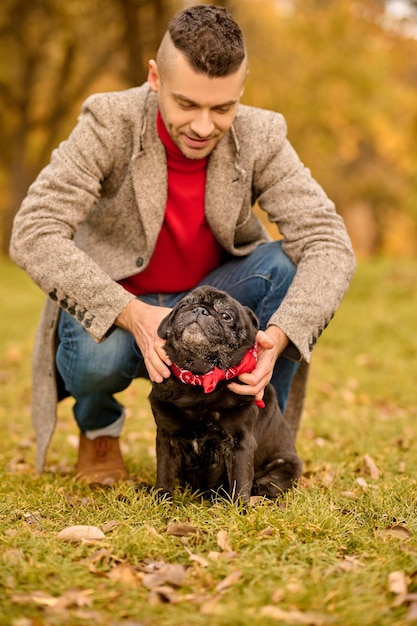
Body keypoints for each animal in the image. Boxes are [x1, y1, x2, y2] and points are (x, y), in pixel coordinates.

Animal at [150, 286, 302, 500]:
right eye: (184, 304)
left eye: (226, 316)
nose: (199, 310)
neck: (200, 377)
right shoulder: (166, 438)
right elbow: (165, 473)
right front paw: (162, 500)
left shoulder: (240, 443)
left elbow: (240, 480)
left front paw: (239, 507)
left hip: (286, 468)